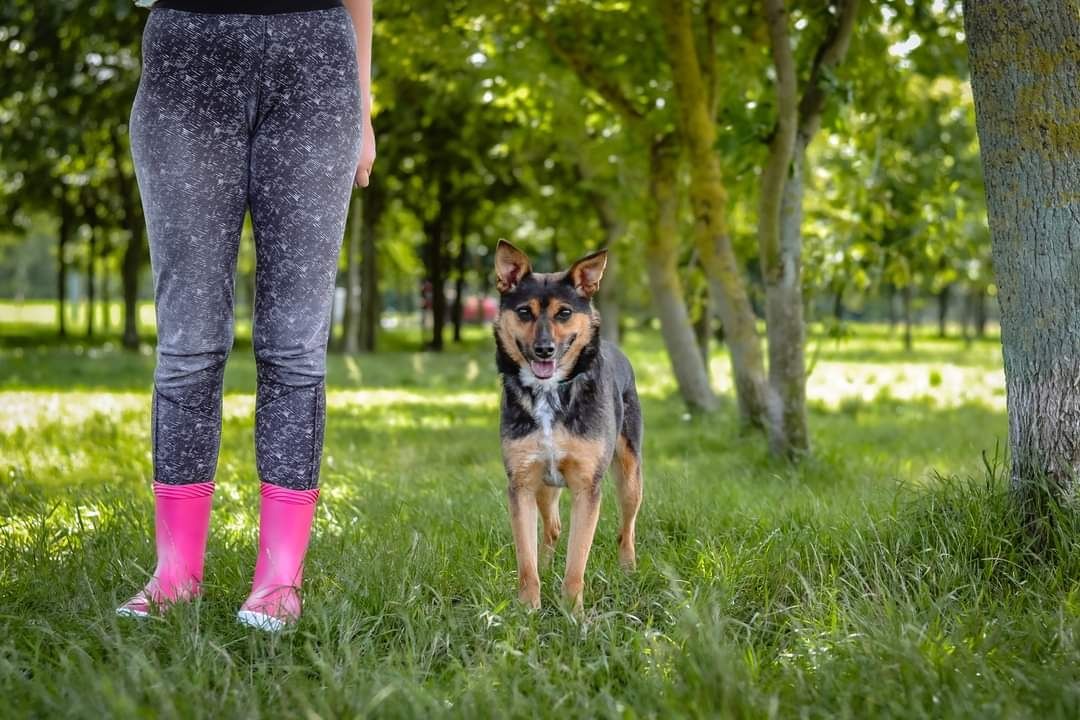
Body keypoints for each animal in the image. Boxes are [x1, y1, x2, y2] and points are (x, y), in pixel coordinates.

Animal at [494, 241, 643, 613]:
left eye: (564, 313)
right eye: (524, 312)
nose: (544, 349)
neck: (549, 393)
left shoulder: (587, 488)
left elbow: (577, 562)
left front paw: (573, 612)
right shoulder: (521, 484)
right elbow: (526, 560)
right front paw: (528, 610)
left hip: (630, 477)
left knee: (627, 528)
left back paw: (628, 570)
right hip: (544, 488)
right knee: (552, 528)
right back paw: (547, 567)